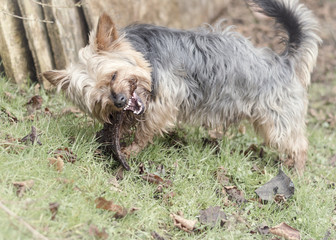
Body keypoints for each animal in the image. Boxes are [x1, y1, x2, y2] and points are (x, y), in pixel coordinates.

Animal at [43, 0, 322, 173]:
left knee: (299, 145)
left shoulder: (163, 104)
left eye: (113, 76)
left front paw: (130, 150)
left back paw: (296, 171)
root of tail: (284, 61)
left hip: (277, 123)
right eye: (98, 99)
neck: (146, 55)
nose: (119, 101)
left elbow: (146, 130)